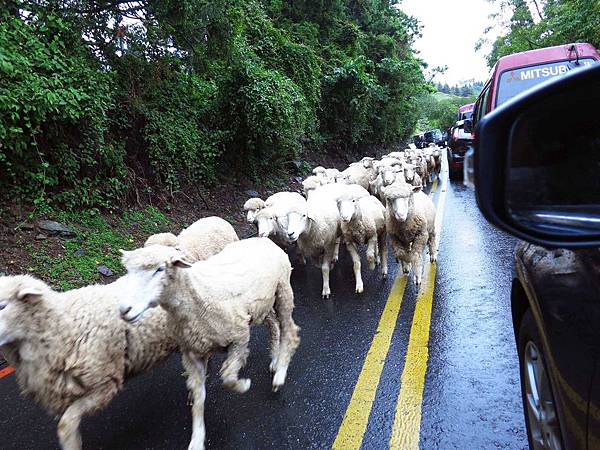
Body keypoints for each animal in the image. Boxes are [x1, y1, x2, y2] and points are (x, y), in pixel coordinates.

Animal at [117, 241, 300, 450]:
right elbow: (199, 397)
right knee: (274, 324)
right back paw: (275, 359)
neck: (197, 297)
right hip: (263, 303)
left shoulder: (239, 337)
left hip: (283, 290)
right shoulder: (192, 354)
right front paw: (197, 439)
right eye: (128, 271)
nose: (124, 310)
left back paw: (280, 374)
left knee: (290, 331)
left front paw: (243, 385)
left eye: (160, 269)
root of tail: (265, 241)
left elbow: (227, 377)